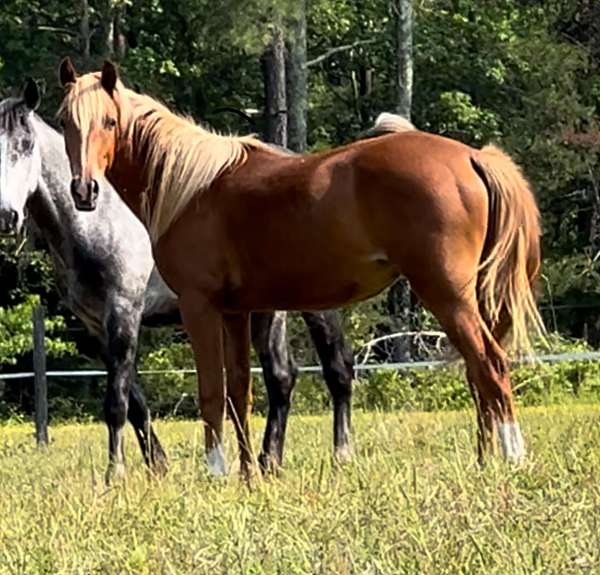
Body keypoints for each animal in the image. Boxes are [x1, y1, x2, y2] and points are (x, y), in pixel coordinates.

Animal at [0, 79, 354, 480]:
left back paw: (318, 456)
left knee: (308, 372)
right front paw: (157, 466)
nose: (6, 217)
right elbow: (135, 402)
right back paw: (272, 461)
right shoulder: (96, 324)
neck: (99, 221)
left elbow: (116, 400)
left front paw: (115, 473)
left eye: (25, 145)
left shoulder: (124, 311)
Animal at [58, 59, 548, 476]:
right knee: (477, 373)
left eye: (109, 122)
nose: (84, 190)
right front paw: (247, 475)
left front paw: (216, 473)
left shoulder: (201, 308)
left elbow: (211, 393)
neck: (191, 188)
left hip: (446, 294)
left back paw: (513, 458)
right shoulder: (237, 312)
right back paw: (484, 459)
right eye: (65, 121)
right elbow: (239, 393)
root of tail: (471, 156)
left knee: (490, 364)